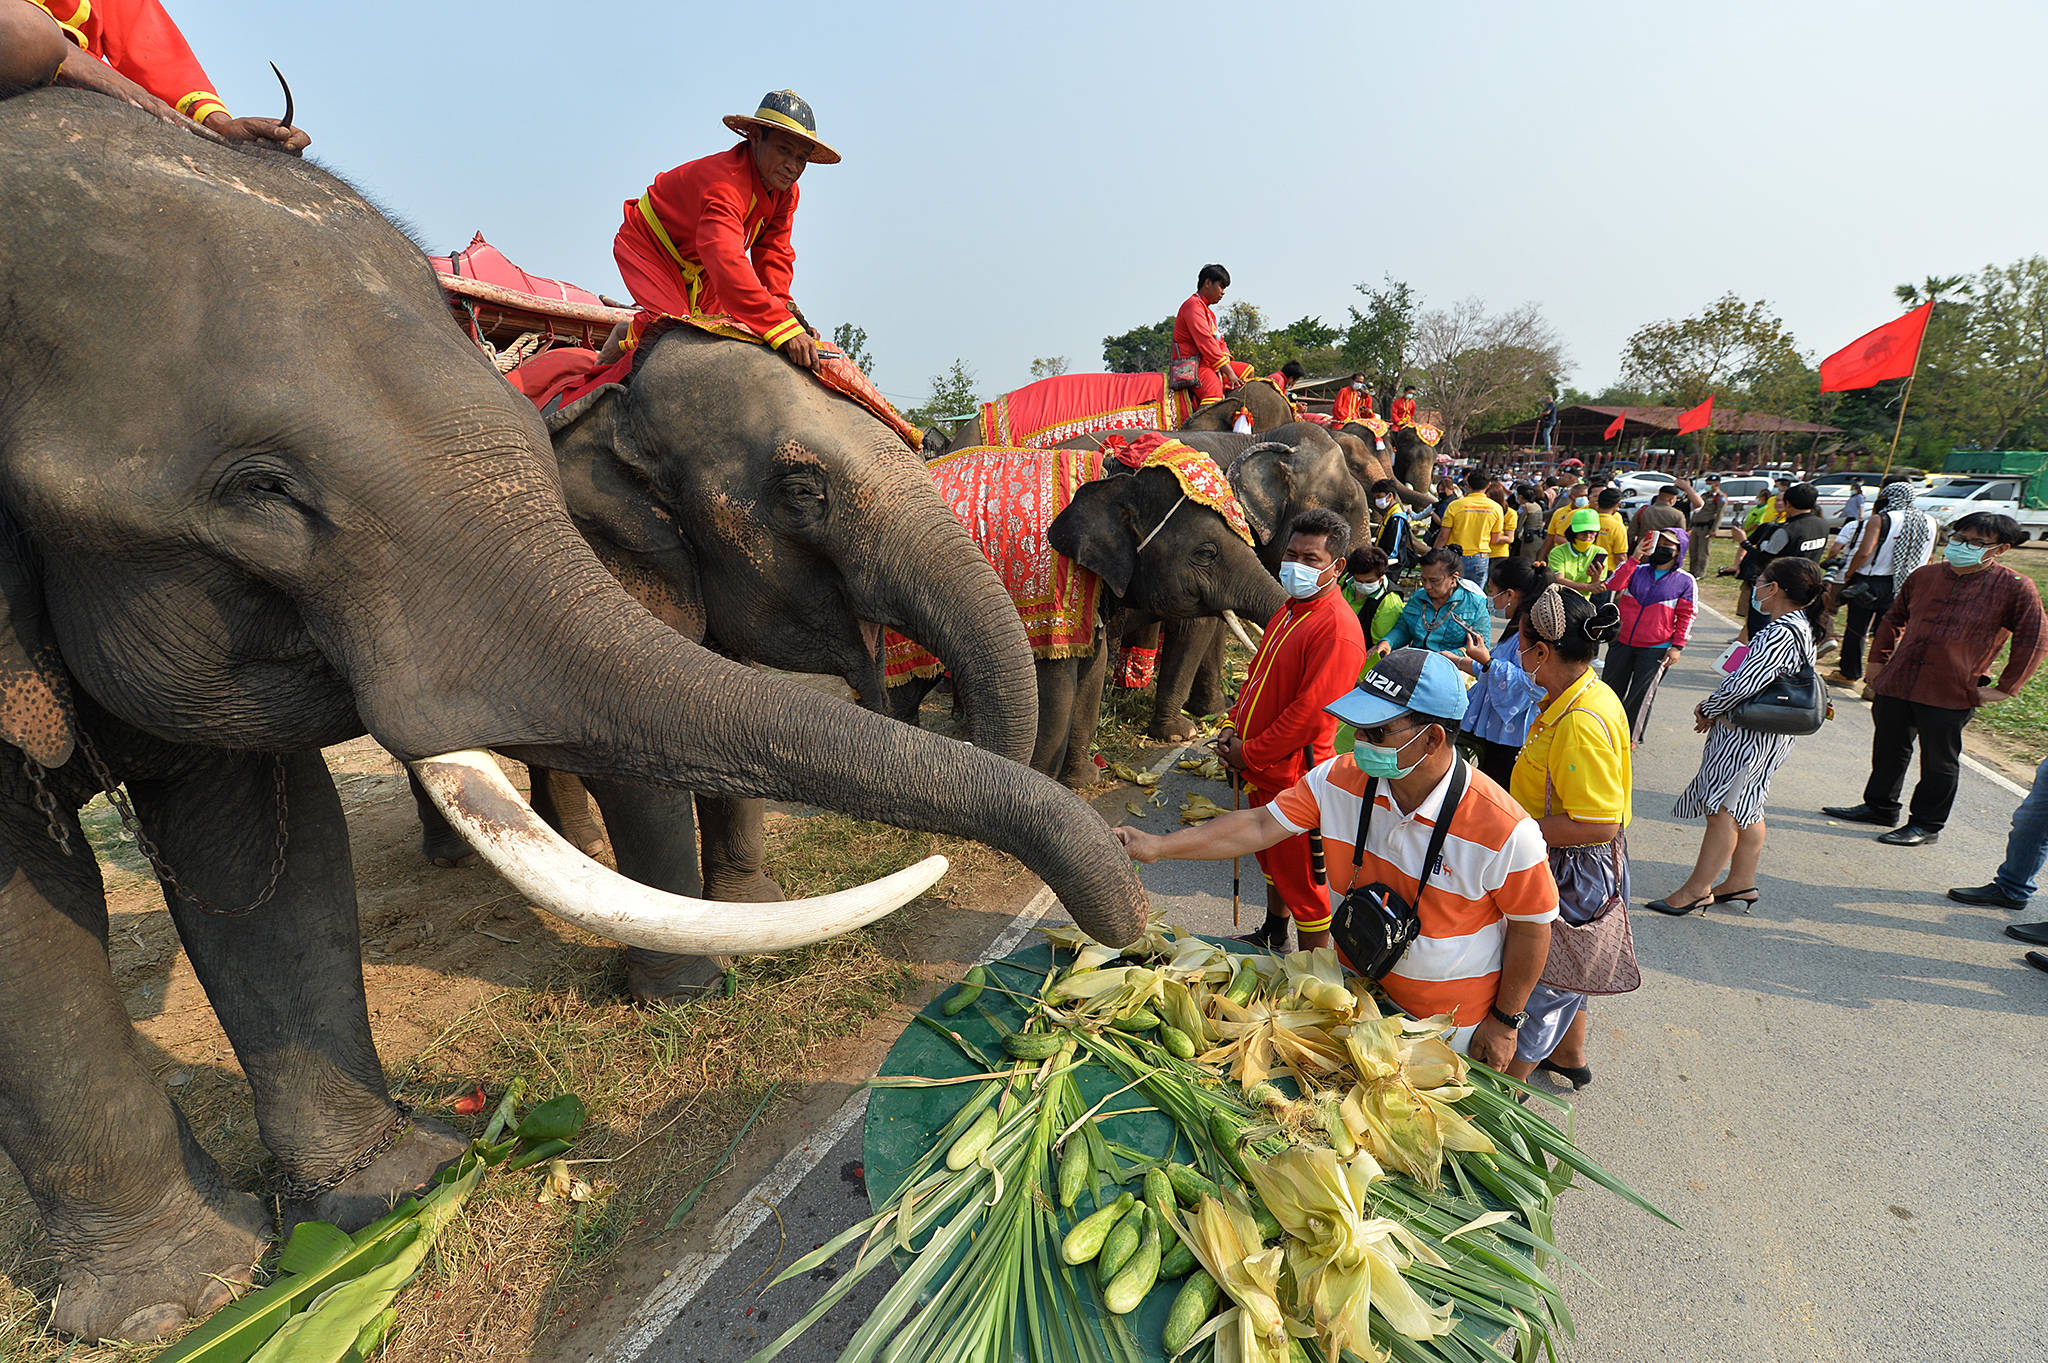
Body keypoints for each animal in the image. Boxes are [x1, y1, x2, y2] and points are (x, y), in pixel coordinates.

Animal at [403, 321, 1040, 998]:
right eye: (800, 492)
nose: (961, 728)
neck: (618, 401)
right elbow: (633, 748)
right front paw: (687, 992)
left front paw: (754, 908)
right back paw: (458, 855)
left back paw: (582, 846)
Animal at [880, 450, 1277, 781]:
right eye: (1206, 553)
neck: (1116, 478)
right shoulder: (1051, 588)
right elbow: (1058, 685)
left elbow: (1093, 670)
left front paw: (1085, 779)